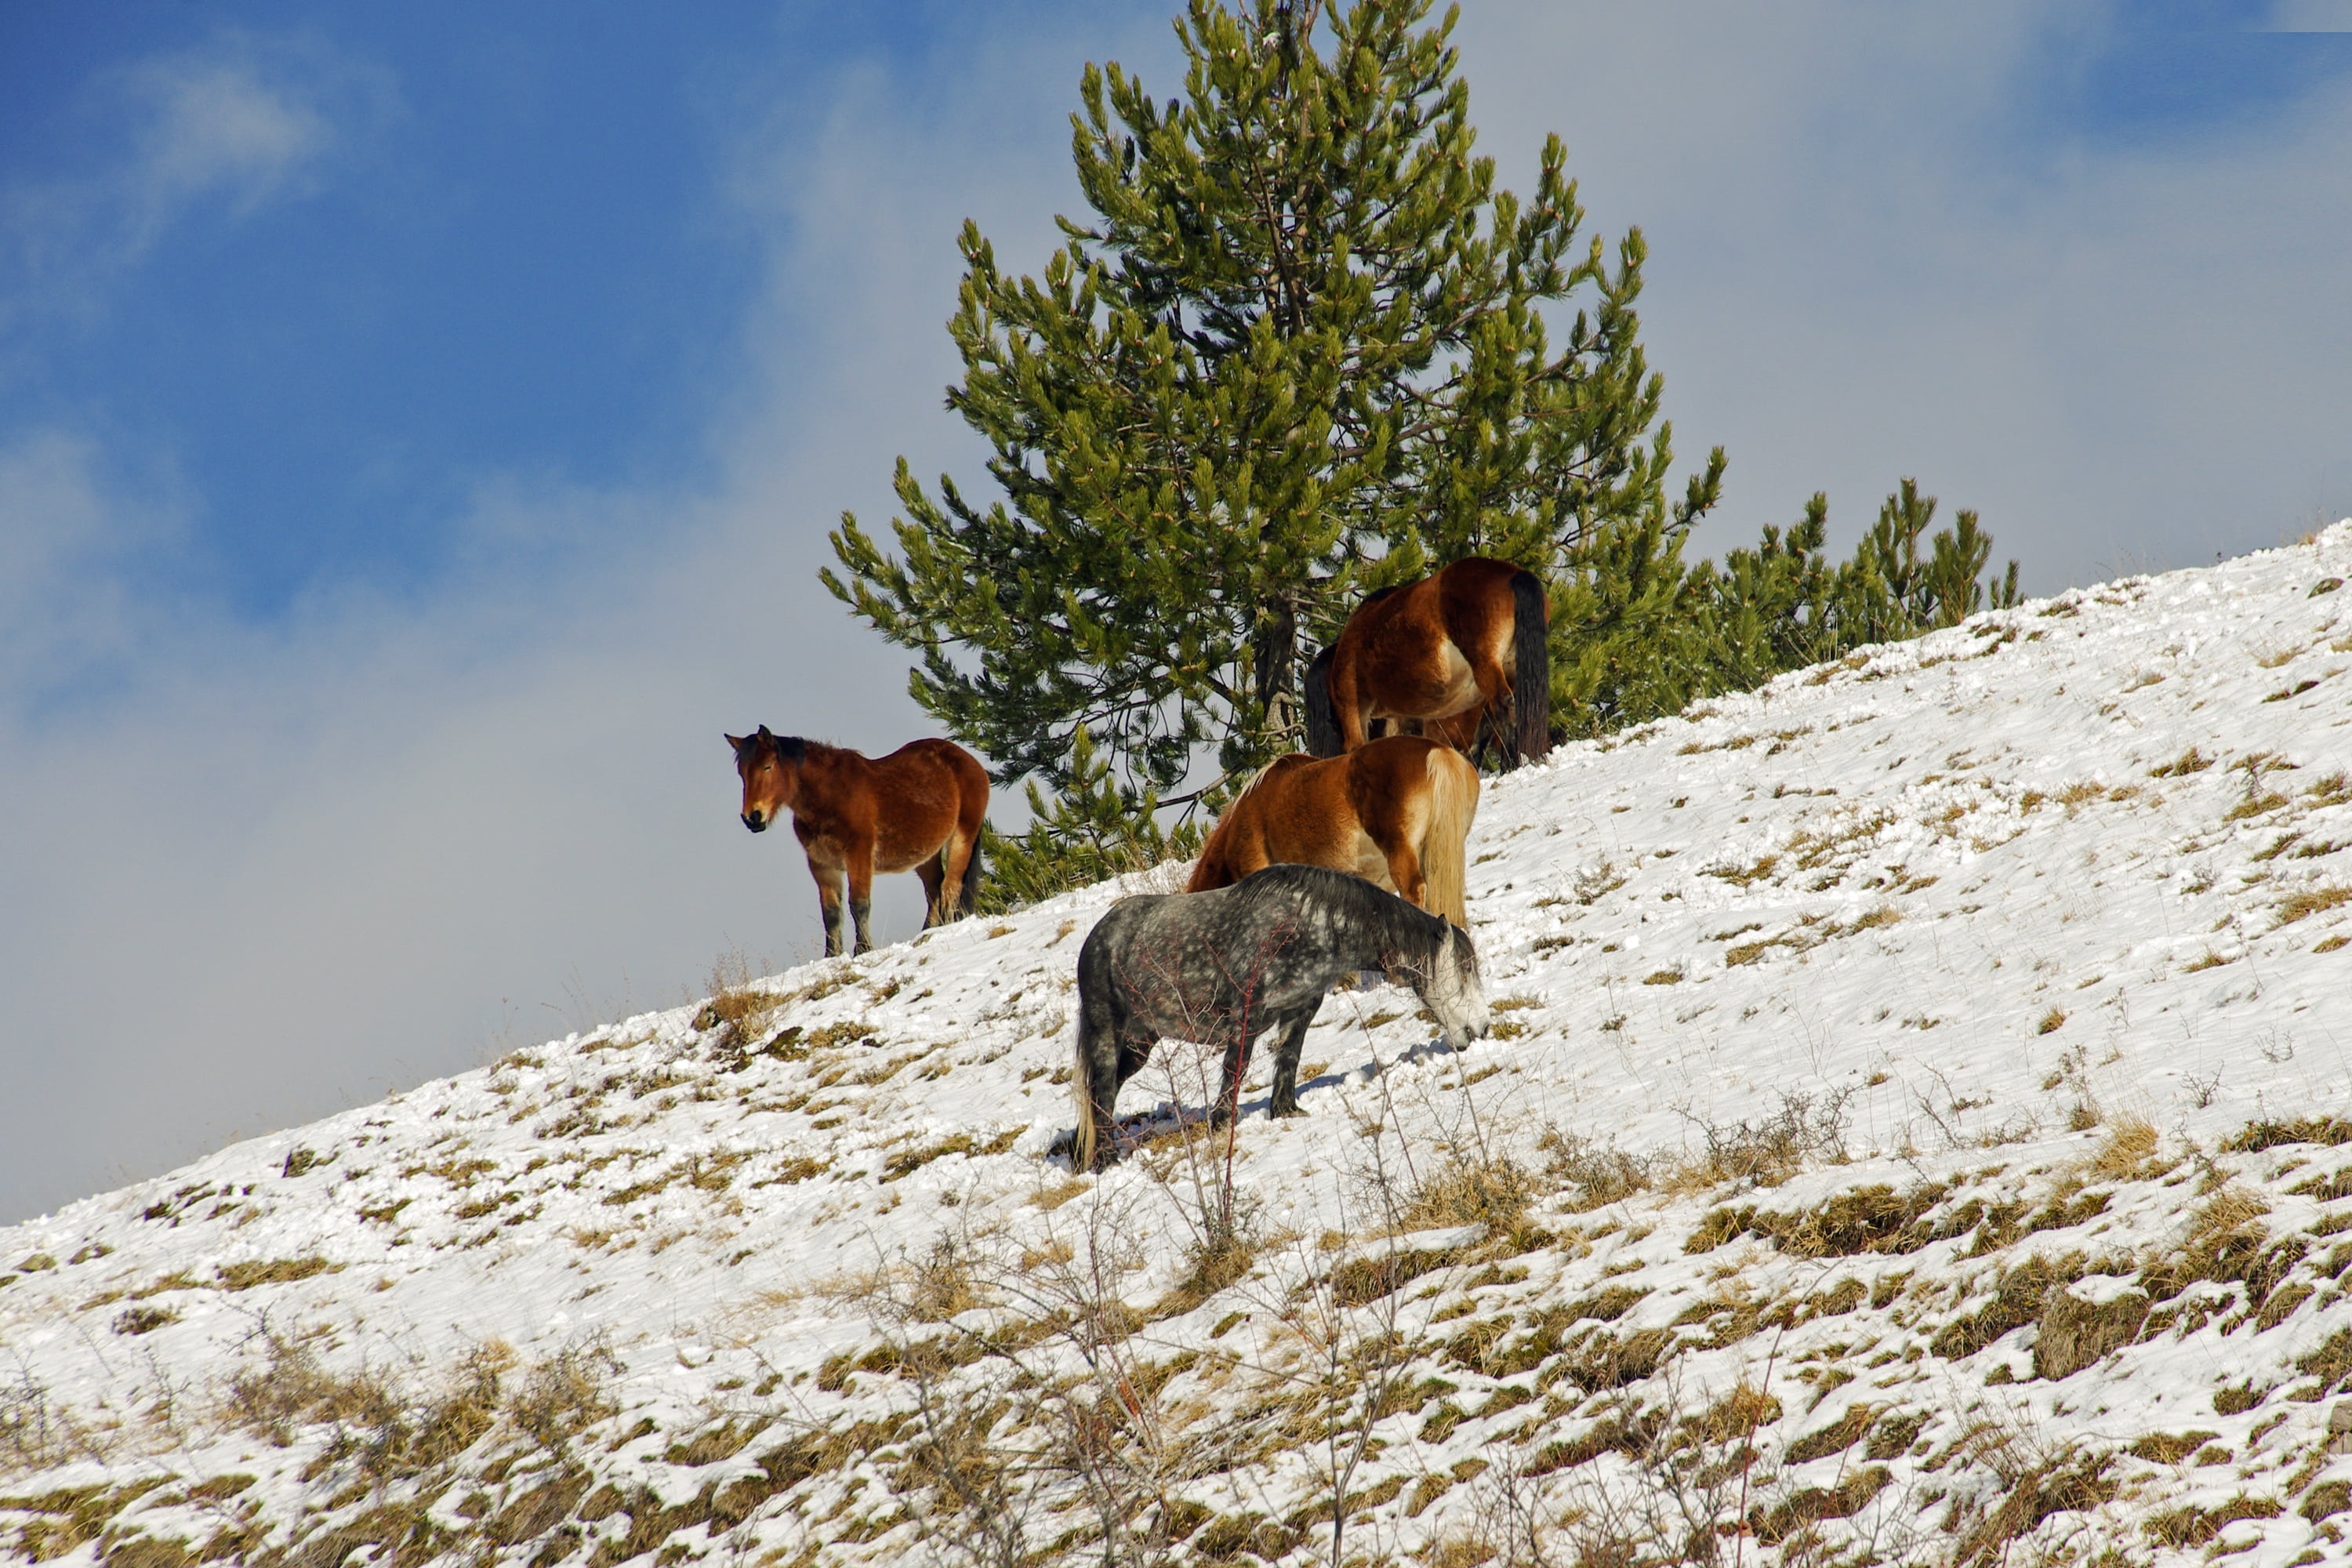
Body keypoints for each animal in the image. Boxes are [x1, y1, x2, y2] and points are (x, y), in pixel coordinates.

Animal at [726, 726, 990, 957]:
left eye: (767, 766)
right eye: (742, 773)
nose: (752, 817)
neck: (830, 796)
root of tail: (969, 762)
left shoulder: (858, 854)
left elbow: (859, 904)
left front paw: (863, 950)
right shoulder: (821, 865)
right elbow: (831, 913)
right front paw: (831, 955)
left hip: (962, 838)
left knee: (950, 888)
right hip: (927, 854)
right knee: (934, 890)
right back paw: (926, 934)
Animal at [1069, 864, 1491, 1172]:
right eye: (1464, 970)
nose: (1482, 1028)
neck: (1306, 926)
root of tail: (1097, 938)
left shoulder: (1301, 1010)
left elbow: (1289, 1059)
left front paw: (1285, 1111)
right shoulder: (1246, 1018)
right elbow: (1235, 1073)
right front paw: (1221, 1126)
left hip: (1141, 1042)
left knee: (1103, 1094)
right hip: (1107, 1033)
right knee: (1102, 1092)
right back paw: (1106, 1161)